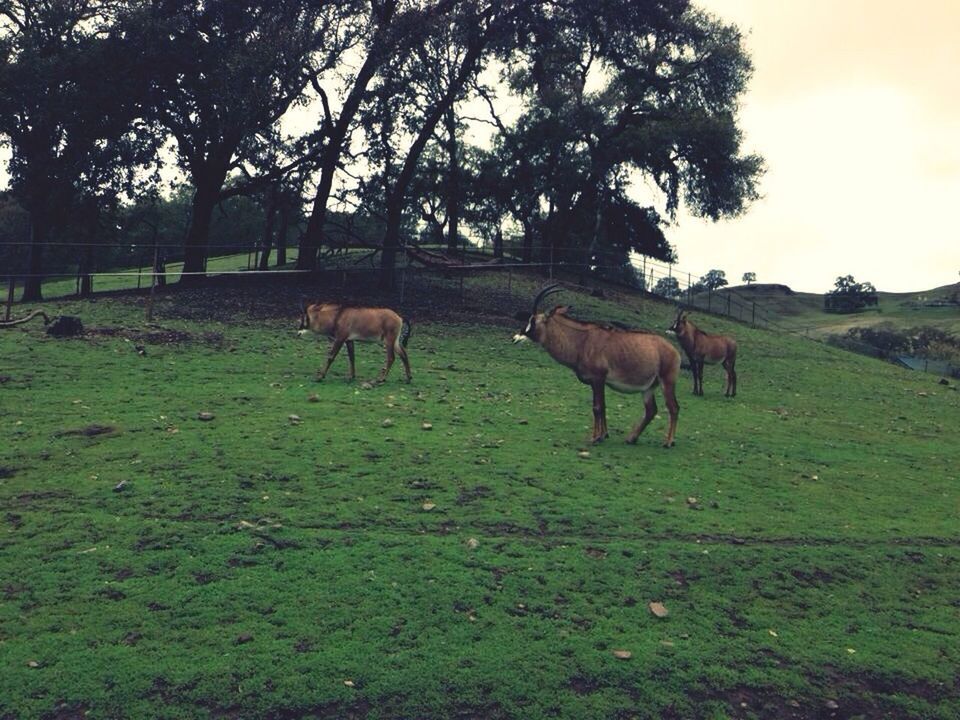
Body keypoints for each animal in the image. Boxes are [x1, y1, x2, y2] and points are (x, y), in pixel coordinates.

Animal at [510, 284, 684, 448]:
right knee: (651, 410)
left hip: (667, 382)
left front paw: (595, 437)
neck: (582, 341)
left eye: (532, 321)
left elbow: (597, 407)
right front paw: (604, 435)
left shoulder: (598, 379)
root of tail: (674, 351)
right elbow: (603, 406)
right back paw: (631, 438)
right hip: (648, 388)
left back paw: (669, 442)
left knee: (673, 407)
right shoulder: (599, 382)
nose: (515, 338)